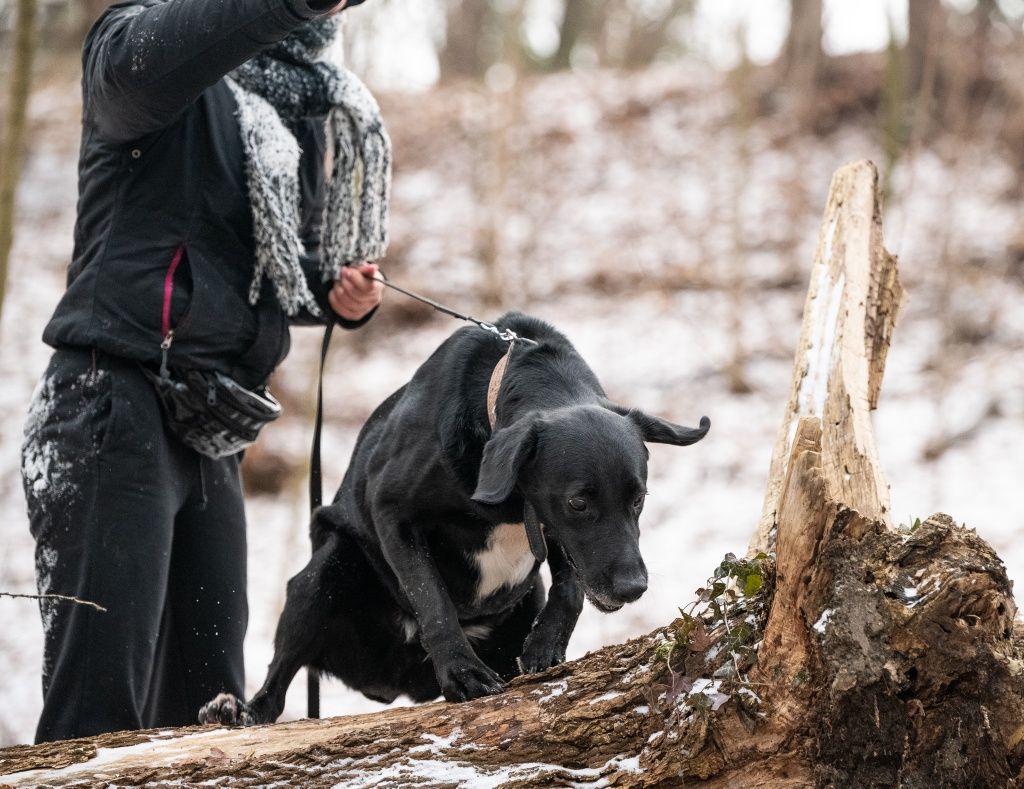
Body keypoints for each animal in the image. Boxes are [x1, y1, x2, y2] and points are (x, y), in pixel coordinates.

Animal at [200, 311, 712, 724]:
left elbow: (569, 588)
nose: (633, 587)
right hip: (322, 574)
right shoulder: (392, 513)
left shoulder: (555, 538)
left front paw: (546, 645)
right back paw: (237, 712)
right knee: (276, 689)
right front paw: (462, 672)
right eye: (578, 503)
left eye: (638, 499)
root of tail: (389, 683)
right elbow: (433, 600)